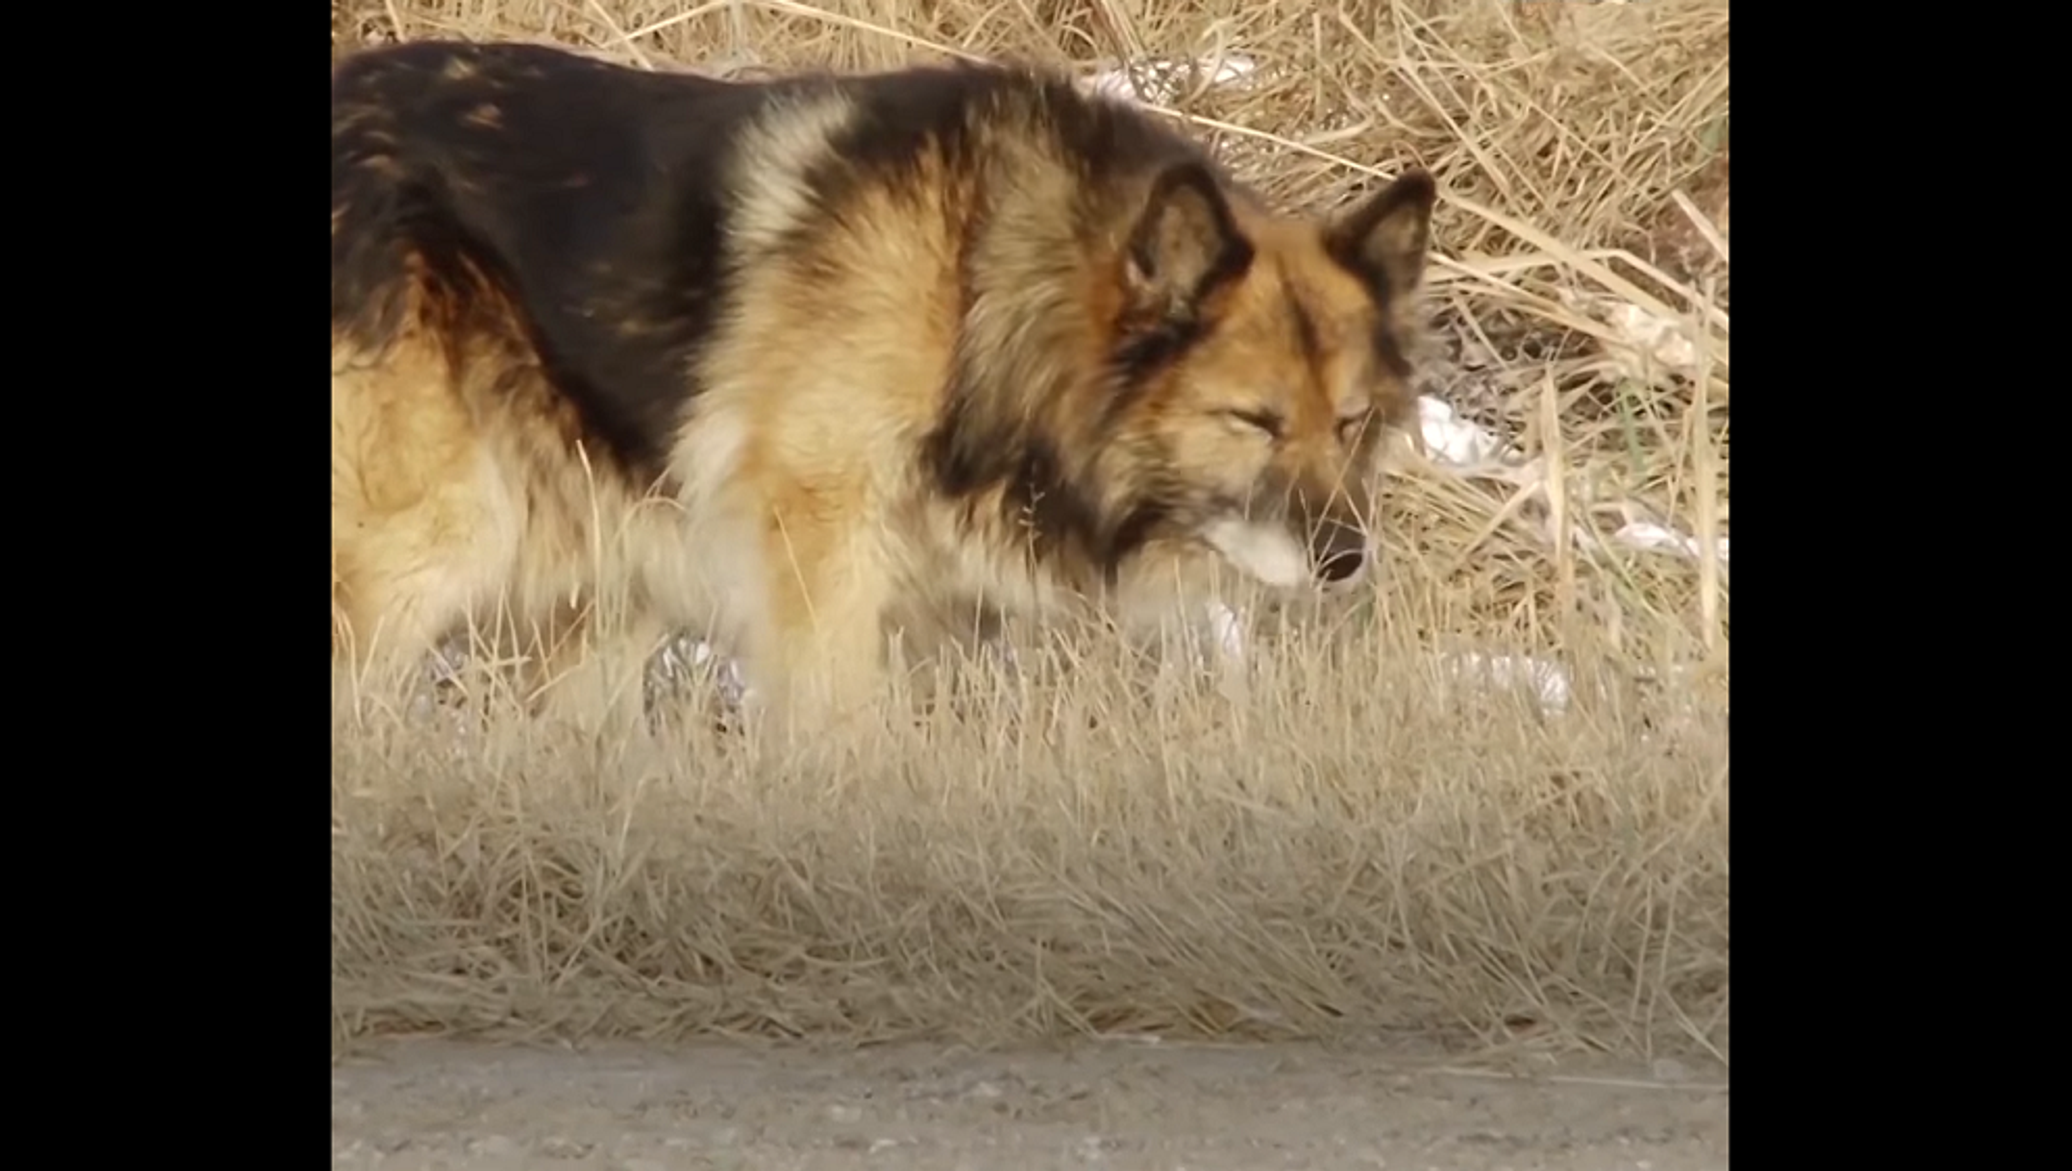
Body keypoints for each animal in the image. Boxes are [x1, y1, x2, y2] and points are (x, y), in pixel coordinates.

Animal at [331, 43, 1433, 737]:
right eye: (1253, 420)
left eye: (1350, 423)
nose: (1347, 560)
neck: (975, 289)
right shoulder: (820, 555)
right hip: (436, 543)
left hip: (610, 590)